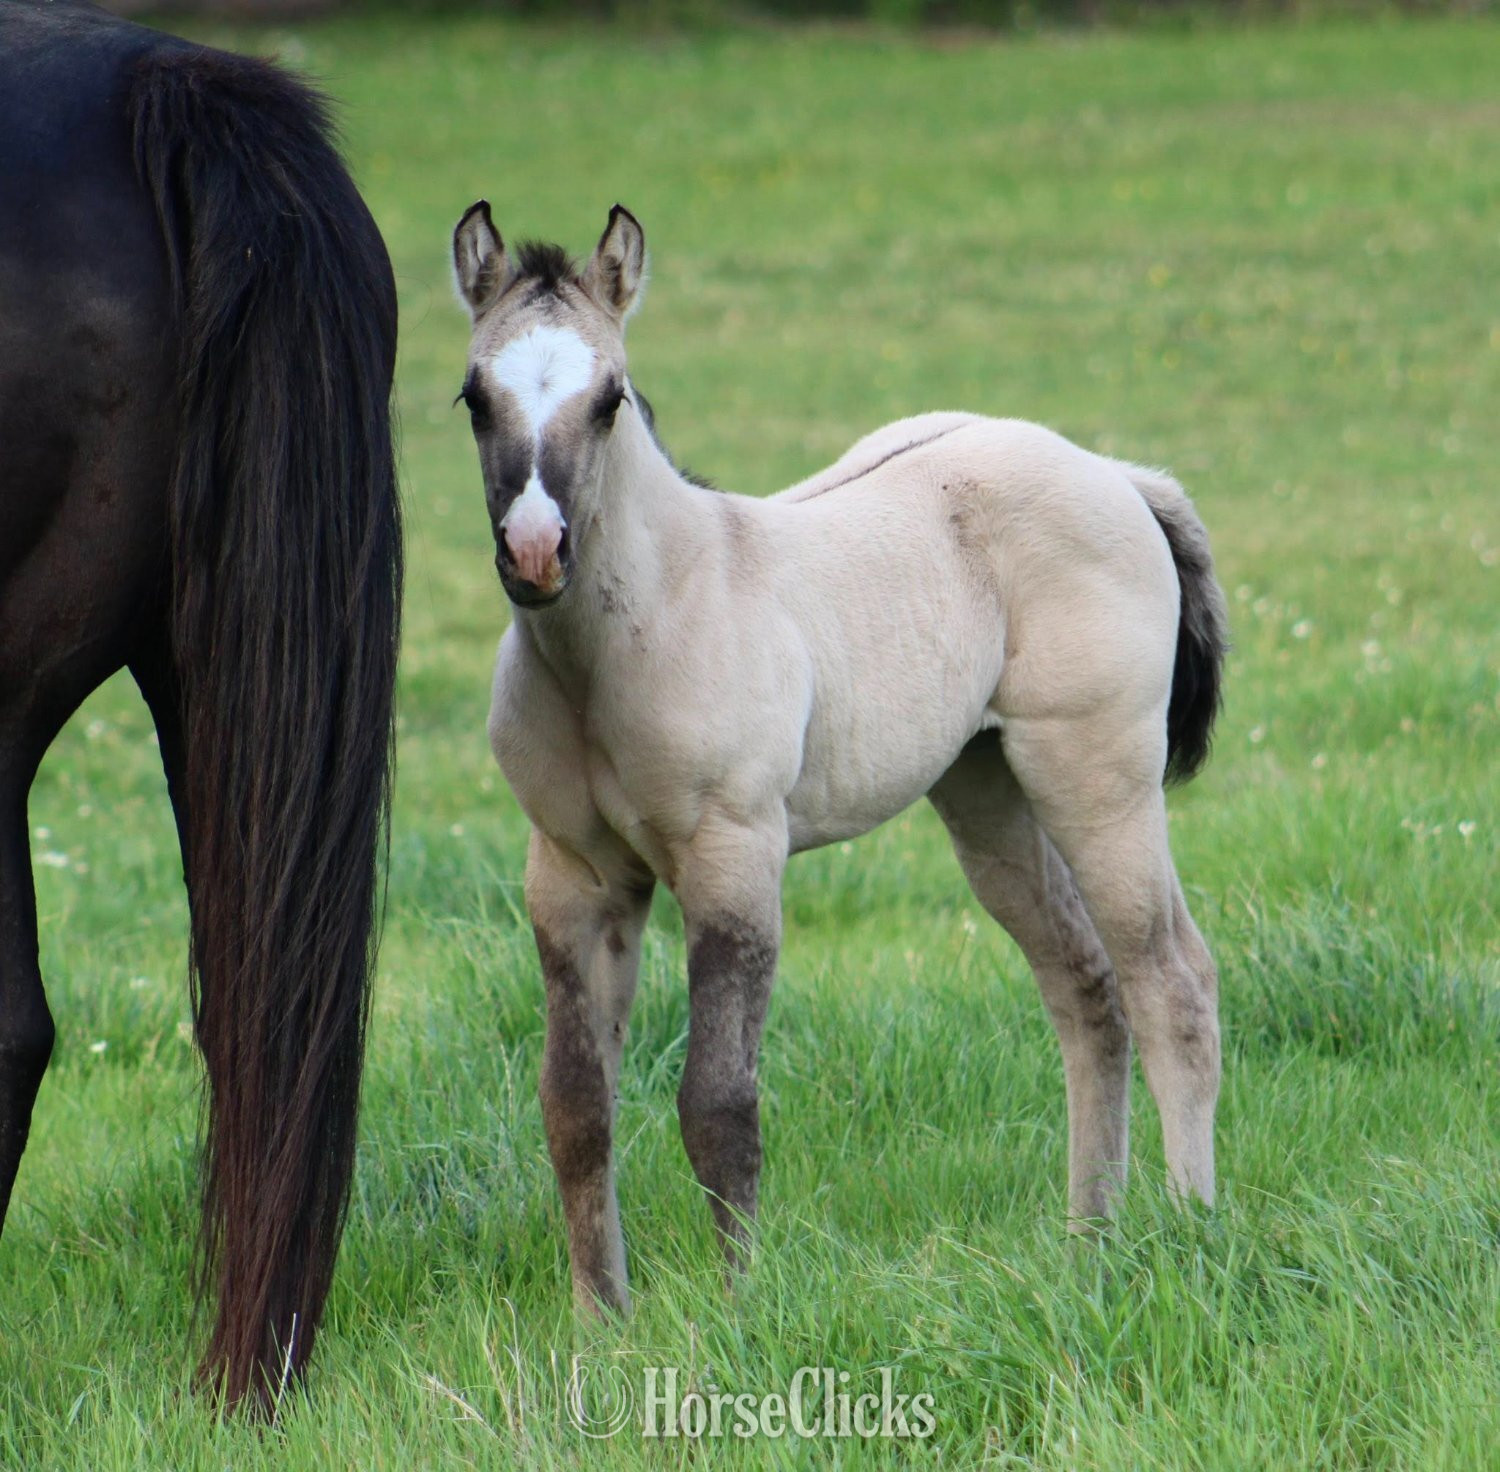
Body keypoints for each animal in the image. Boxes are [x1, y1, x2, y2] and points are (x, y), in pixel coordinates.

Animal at [452, 200, 1229, 1314]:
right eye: (476, 398)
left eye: (609, 400)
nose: (534, 551)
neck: (632, 632)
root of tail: (1116, 474)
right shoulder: (575, 876)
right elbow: (575, 1107)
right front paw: (602, 1321)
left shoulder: (733, 856)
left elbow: (718, 1104)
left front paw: (737, 1310)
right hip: (985, 792)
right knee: (1086, 990)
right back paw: (1090, 1242)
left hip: (1099, 776)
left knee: (1171, 983)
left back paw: (1187, 1229)